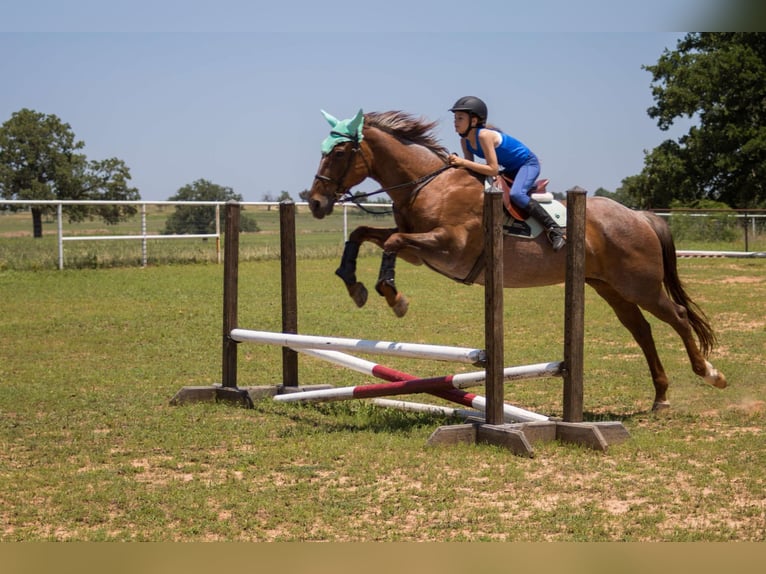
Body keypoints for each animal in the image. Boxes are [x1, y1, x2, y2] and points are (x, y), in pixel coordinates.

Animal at [306, 109, 728, 414]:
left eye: (339, 152)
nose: (315, 203)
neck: (427, 183)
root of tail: (640, 215)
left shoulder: (448, 246)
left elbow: (390, 241)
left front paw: (394, 297)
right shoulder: (418, 251)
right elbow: (364, 234)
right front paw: (354, 284)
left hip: (640, 285)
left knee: (678, 317)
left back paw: (710, 374)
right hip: (608, 287)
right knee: (641, 329)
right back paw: (661, 396)